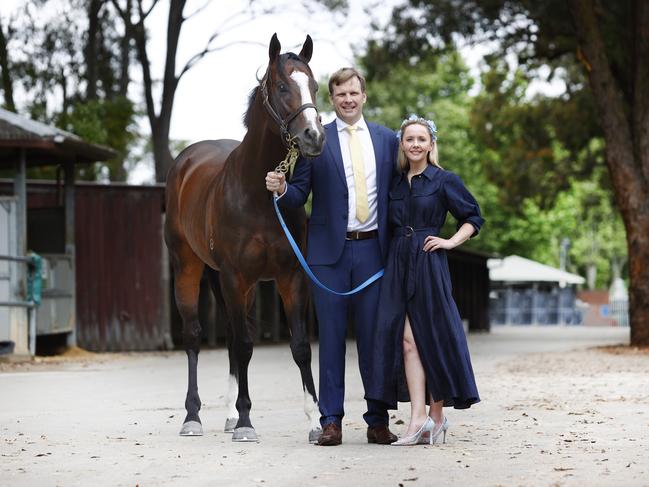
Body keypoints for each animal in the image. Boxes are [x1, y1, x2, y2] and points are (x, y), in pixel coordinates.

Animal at [163, 34, 322, 442]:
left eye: (314, 86)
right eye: (281, 87)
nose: (314, 136)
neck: (257, 193)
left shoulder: (290, 278)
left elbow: (300, 347)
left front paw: (316, 421)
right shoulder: (237, 277)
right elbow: (247, 345)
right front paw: (248, 423)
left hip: (231, 284)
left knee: (235, 337)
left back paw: (230, 414)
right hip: (190, 269)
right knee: (195, 335)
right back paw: (193, 417)